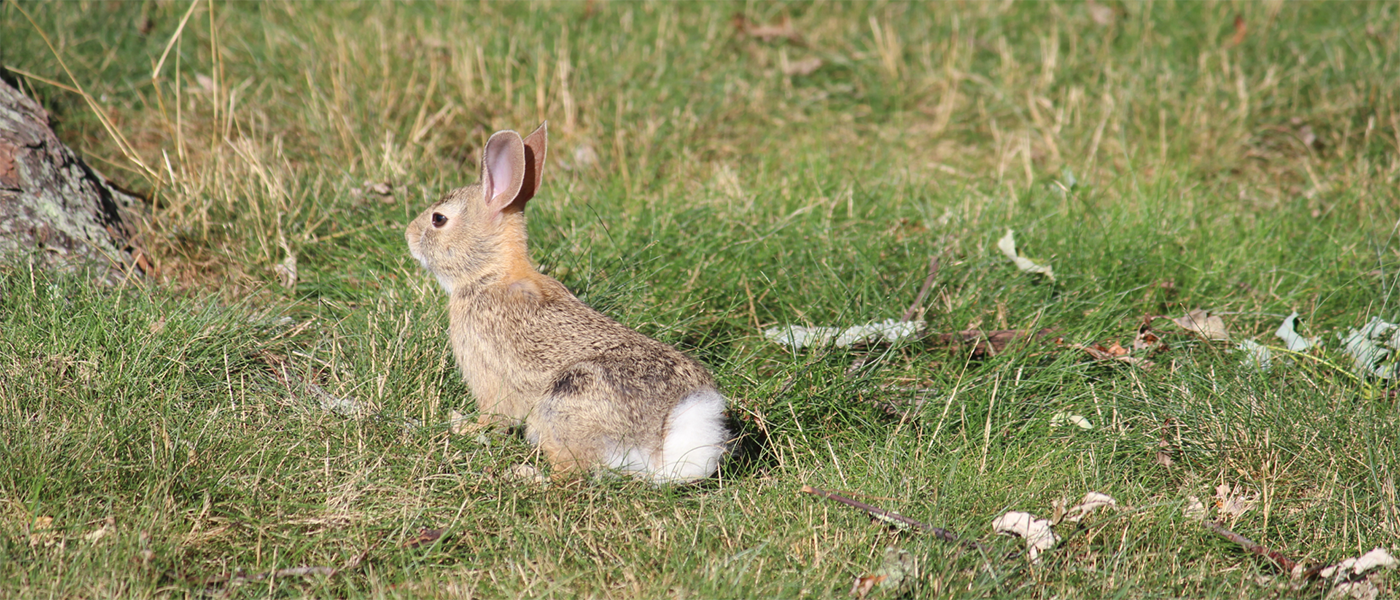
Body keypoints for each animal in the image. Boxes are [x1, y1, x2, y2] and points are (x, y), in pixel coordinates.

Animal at [406, 123, 733, 483]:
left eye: (438, 219)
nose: (408, 235)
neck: (490, 274)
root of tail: (659, 444)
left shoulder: (490, 378)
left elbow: (494, 418)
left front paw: (460, 425)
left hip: (563, 402)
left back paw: (526, 474)